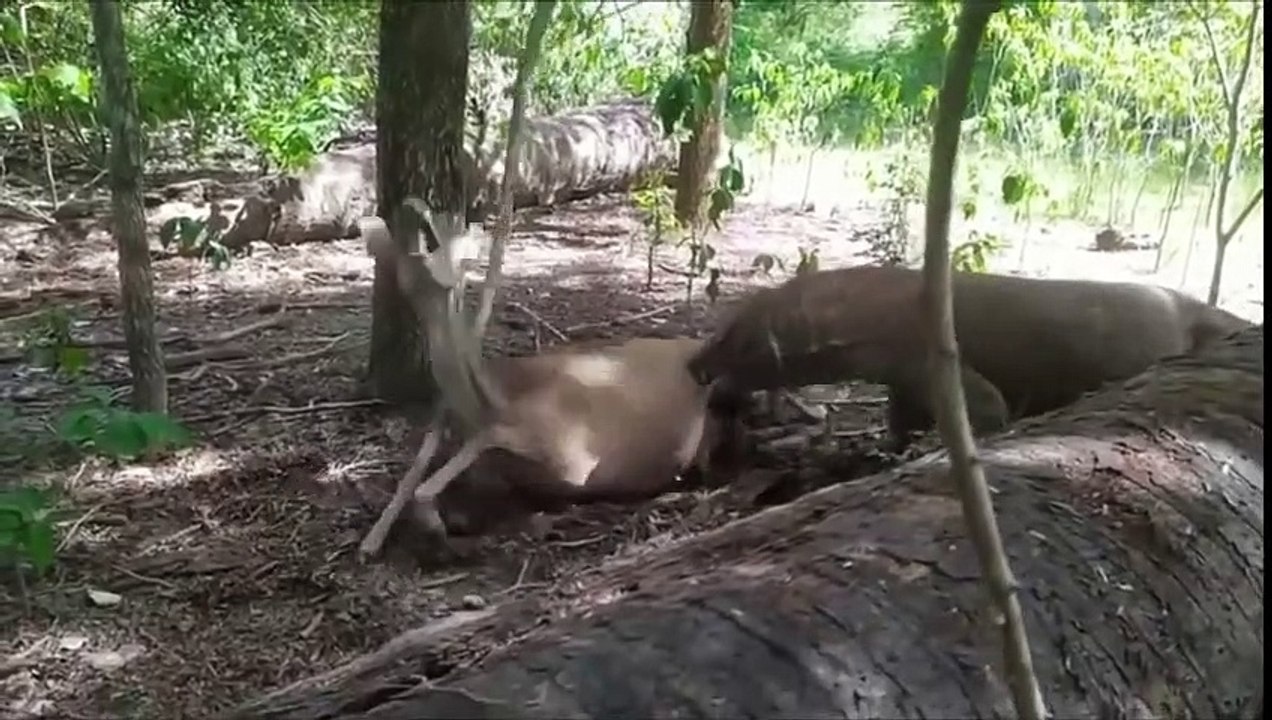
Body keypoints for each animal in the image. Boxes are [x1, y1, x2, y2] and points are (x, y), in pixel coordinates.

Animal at [357, 199, 744, 557]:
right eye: (404, 277)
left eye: (451, 260)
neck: (490, 399)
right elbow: (420, 473)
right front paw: (376, 540)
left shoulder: (569, 454)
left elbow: (433, 481)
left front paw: (442, 533)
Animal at [687, 264, 1254, 453]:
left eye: (734, 337)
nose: (694, 366)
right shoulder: (905, 374)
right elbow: (901, 417)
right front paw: (887, 447)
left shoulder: (929, 357)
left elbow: (987, 409)